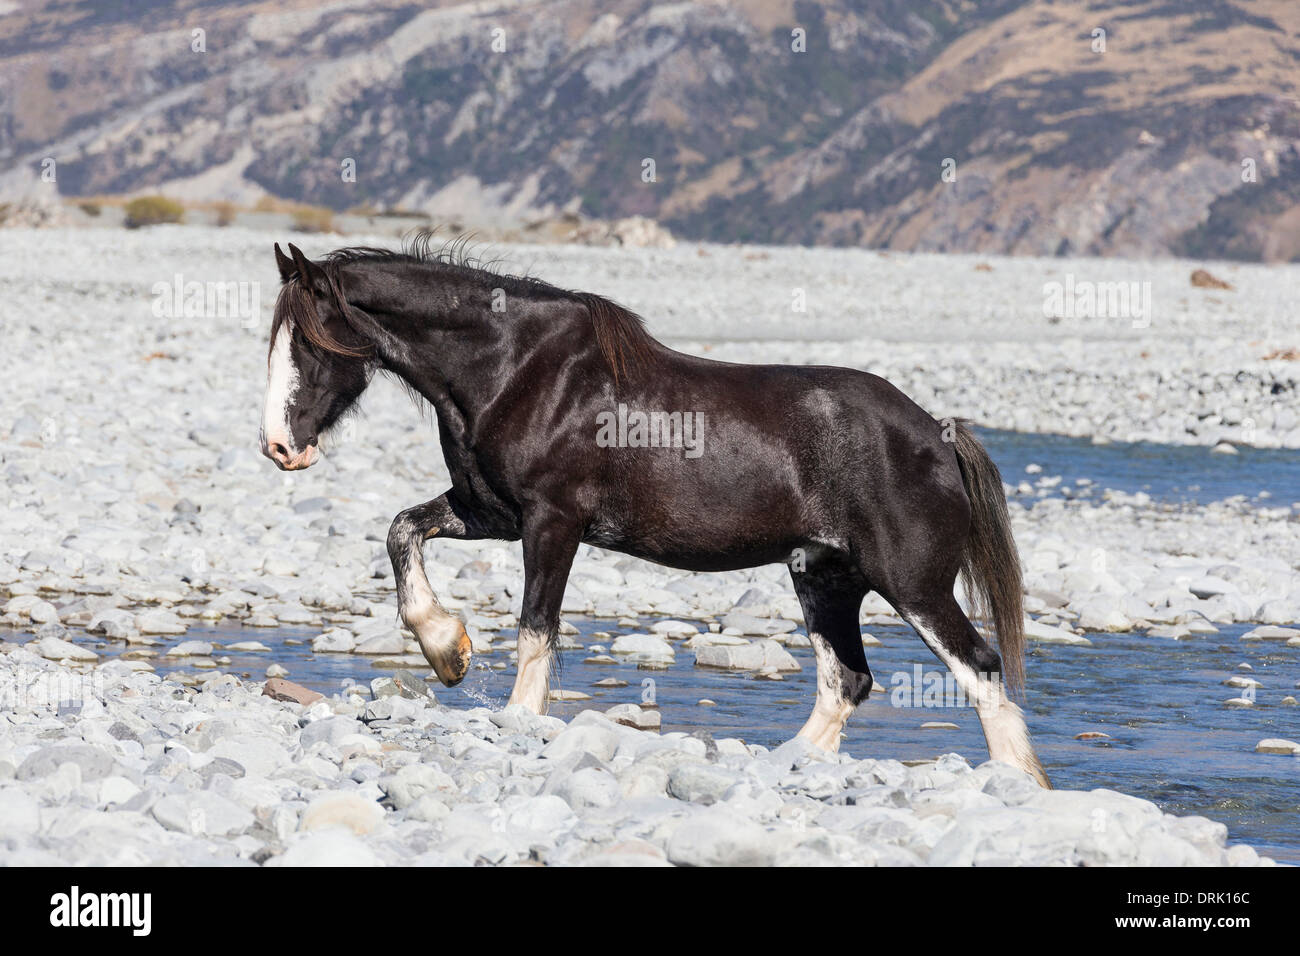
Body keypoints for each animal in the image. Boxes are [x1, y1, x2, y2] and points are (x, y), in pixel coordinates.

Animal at [259, 239, 1050, 788]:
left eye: (311, 342)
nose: (279, 447)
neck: (516, 369)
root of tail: (938, 435)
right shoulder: (489, 513)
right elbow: (402, 531)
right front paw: (447, 650)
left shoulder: (551, 522)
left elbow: (536, 626)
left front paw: (516, 717)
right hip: (824, 576)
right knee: (846, 680)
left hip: (911, 584)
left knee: (979, 668)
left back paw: (1017, 784)